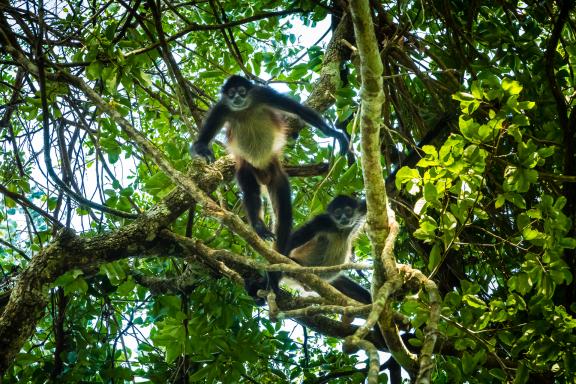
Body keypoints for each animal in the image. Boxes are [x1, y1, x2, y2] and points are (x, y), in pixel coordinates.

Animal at [190, 75, 352, 255]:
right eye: (231, 94)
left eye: (242, 91)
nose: (237, 98)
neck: (244, 109)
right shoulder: (221, 108)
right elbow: (201, 141)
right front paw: (204, 152)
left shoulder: (263, 94)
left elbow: (298, 110)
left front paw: (333, 132)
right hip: (246, 168)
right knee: (251, 193)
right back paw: (260, 227)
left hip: (276, 174)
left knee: (284, 213)